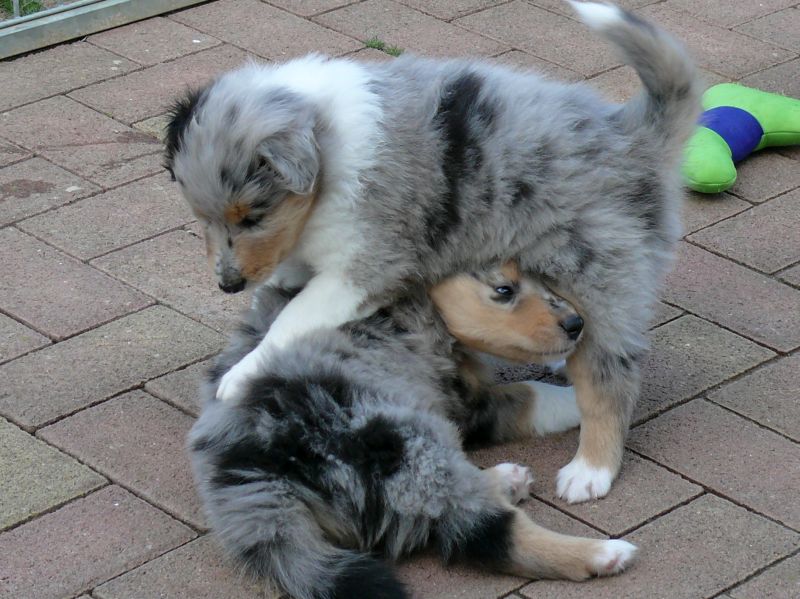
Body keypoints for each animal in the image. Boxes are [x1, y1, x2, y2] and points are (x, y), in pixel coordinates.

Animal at [166, 2, 701, 503]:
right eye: (201, 217)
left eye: (252, 216)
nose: (228, 284)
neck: (328, 149)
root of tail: (635, 136)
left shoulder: (366, 265)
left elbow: (292, 319)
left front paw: (237, 377)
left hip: (597, 262)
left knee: (610, 380)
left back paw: (590, 472)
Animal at [189, 265, 636, 599]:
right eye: (504, 289)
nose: (577, 323)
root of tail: (258, 473)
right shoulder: (465, 399)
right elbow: (532, 394)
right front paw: (592, 398)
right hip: (404, 442)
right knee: (481, 530)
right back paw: (605, 554)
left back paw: (508, 479)